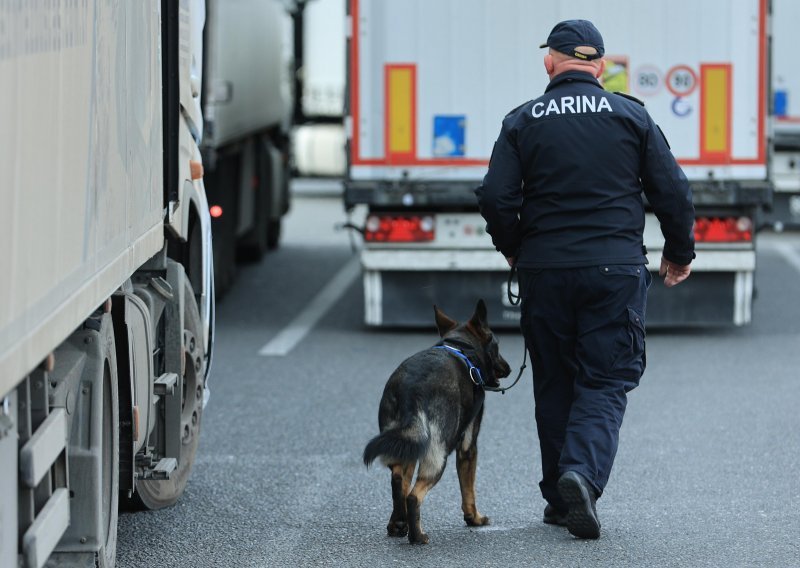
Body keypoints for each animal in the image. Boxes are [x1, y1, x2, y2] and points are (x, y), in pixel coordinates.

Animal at [364, 300, 512, 544]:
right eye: (497, 345)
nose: (508, 368)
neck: (461, 348)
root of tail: (410, 390)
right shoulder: (468, 446)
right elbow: (469, 489)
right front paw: (475, 519)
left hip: (406, 444)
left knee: (398, 481)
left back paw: (398, 524)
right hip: (437, 455)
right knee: (414, 496)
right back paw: (417, 536)